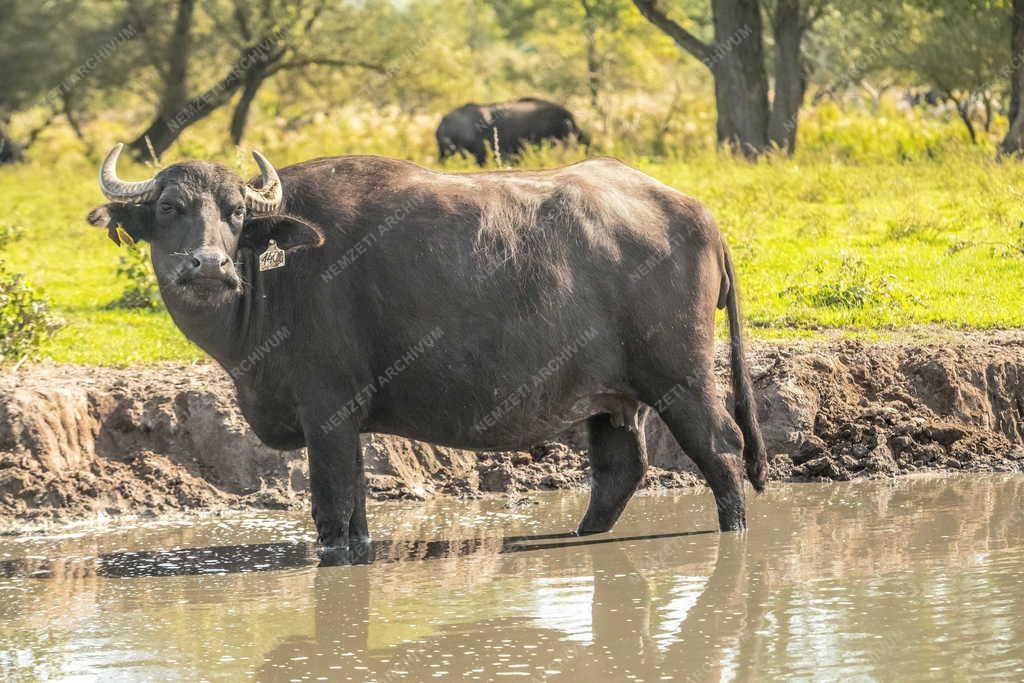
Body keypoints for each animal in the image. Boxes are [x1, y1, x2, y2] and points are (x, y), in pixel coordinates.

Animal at [83, 145, 765, 561]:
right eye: (170, 208)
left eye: (232, 213)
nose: (209, 265)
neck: (269, 284)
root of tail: (696, 212)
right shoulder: (347, 424)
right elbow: (357, 509)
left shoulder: (327, 412)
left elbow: (331, 510)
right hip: (612, 397)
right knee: (620, 468)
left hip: (680, 375)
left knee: (720, 447)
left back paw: (735, 530)